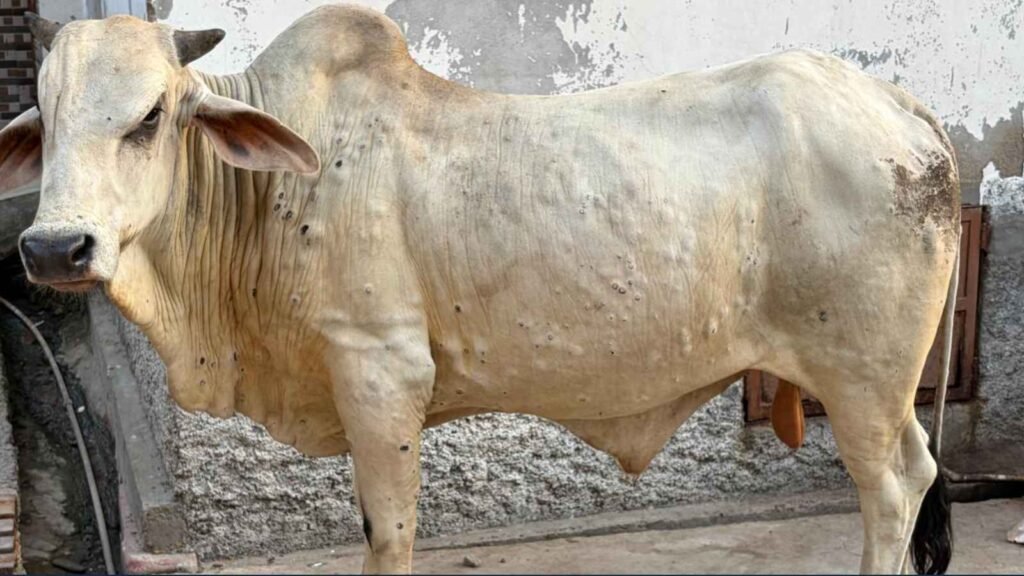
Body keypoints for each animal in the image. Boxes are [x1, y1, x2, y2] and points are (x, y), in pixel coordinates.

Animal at [0, 5, 959, 574]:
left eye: (151, 115)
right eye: (45, 118)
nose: (53, 247)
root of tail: (891, 98)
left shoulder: (381, 373)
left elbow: (390, 535)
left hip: (863, 377)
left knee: (892, 491)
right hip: (872, 383)